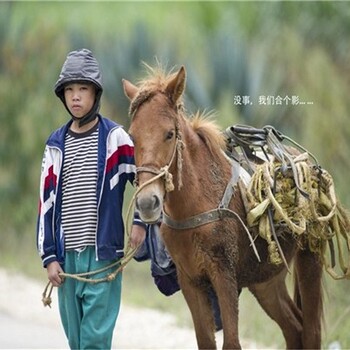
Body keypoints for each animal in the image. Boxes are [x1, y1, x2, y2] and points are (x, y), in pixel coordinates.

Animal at [124, 66, 324, 350]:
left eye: (169, 134)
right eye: (132, 136)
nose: (147, 203)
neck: (196, 205)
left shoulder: (224, 276)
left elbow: (231, 342)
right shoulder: (191, 282)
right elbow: (206, 341)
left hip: (309, 261)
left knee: (310, 331)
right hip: (266, 279)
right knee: (293, 328)